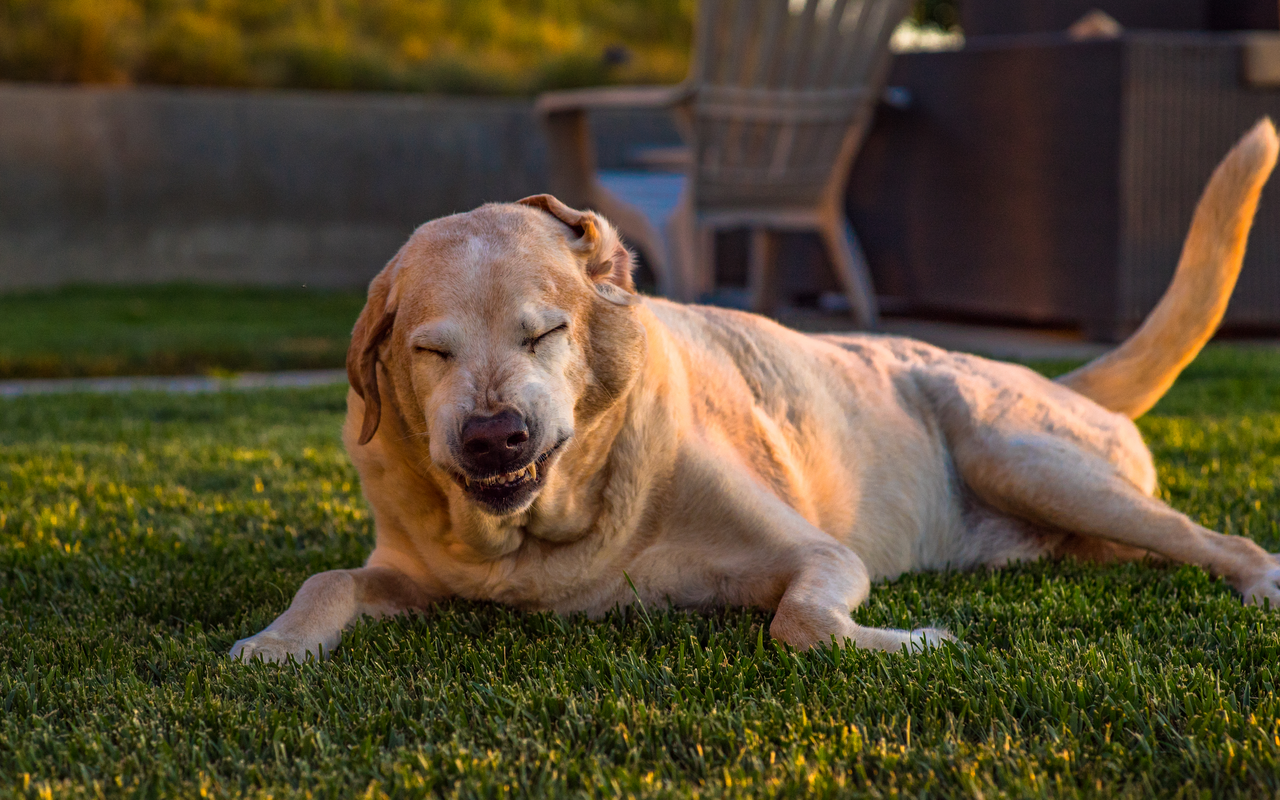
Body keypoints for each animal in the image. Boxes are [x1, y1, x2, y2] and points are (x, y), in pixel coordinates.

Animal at [232, 117, 1280, 655]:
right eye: (430, 351)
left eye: (546, 332)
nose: (494, 437)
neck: (549, 534)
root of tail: (1067, 382)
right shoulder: (407, 574)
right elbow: (326, 581)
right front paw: (276, 645)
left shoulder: (818, 555)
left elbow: (801, 623)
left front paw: (909, 641)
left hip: (1025, 455)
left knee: (1217, 538)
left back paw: (1260, 580)